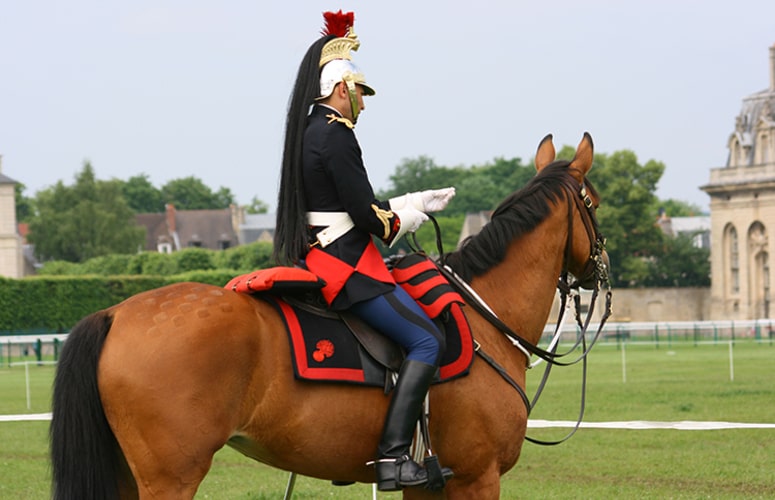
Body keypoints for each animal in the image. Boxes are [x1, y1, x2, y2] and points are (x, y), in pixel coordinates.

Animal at [50, 133, 608, 500]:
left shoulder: (432, 485)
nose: (602, 270)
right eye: (595, 203)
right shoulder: (478, 477)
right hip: (170, 478)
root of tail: (115, 312)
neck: (484, 320)